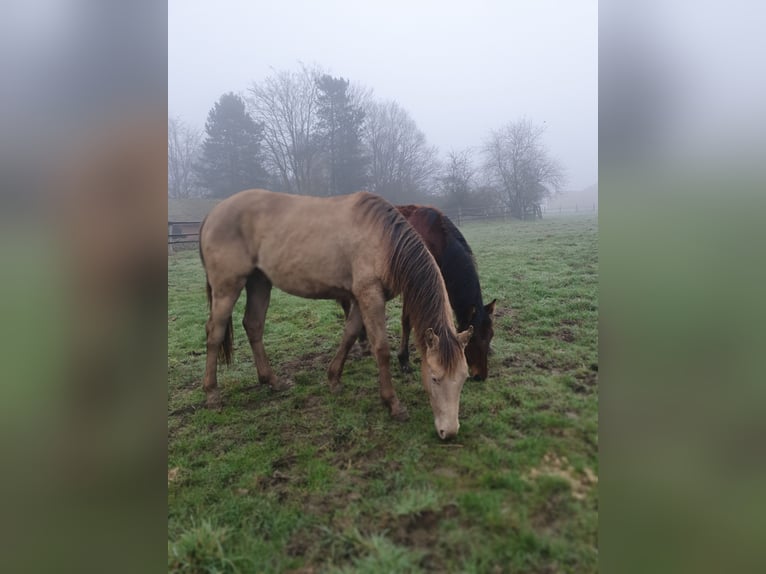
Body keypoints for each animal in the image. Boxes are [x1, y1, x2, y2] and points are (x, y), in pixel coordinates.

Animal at [198, 189, 474, 440]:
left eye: (463, 378)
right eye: (435, 378)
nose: (449, 432)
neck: (383, 239)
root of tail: (213, 213)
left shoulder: (362, 298)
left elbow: (349, 335)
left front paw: (333, 379)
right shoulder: (370, 296)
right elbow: (381, 349)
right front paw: (393, 404)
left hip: (259, 282)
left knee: (253, 325)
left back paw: (273, 381)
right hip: (227, 287)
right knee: (215, 333)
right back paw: (212, 394)